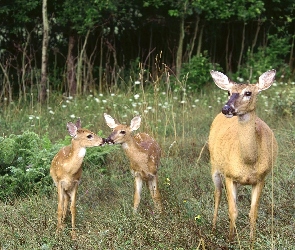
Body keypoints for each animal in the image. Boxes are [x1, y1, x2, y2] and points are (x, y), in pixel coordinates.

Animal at [209, 69, 278, 245]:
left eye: (248, 93)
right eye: (228, 92)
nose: (226, 108)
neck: (248, 161)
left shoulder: (261, 178)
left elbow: (253, 213)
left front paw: (251, 242)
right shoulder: (229, 175)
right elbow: (233, 211)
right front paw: (230, 239)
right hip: (214, 165)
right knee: (217, 193)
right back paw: (213, 228)